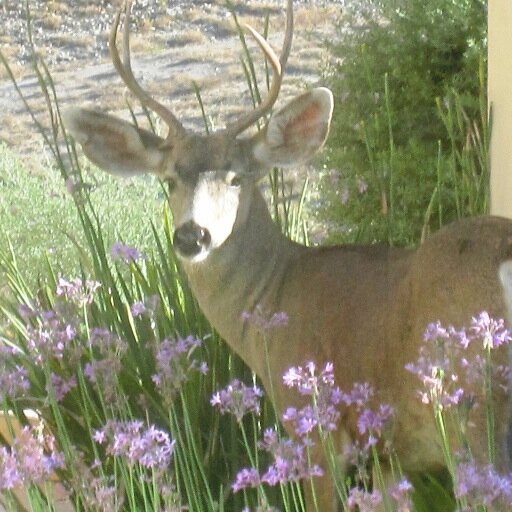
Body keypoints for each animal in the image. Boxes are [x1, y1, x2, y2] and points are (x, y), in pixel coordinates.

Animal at [62, 1, 512, 512]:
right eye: (170, 179)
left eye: (237, 177)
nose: (192, 235)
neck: (276, 295)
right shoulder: (385, 455)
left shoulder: (313, 428)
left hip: (474, 416)